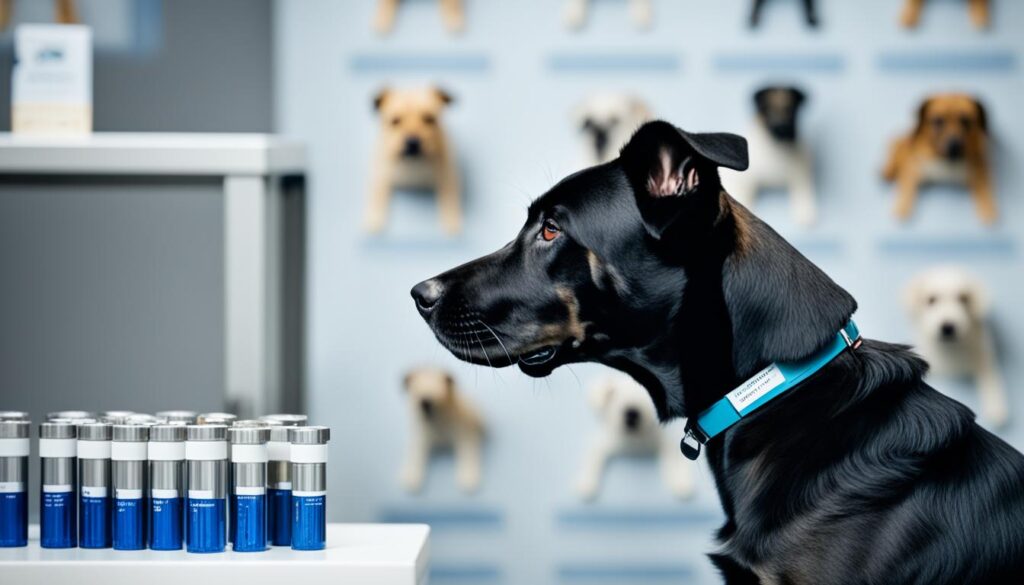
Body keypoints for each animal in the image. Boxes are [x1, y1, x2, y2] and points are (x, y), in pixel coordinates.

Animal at [366, 87, 462, 233]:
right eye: (395, 121)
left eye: (430, 118)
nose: (412, 142)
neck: (413, 163)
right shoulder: (380, 174)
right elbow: (377, 194)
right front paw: (373, 220)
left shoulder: (447, 174)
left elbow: (449, 197)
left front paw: (452, 221)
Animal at [905, 268, 1007, 428]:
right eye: (931, 299)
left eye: (964, 299)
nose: (948, 327)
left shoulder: (983, 355)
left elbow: (991, 378)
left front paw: (997, 409)